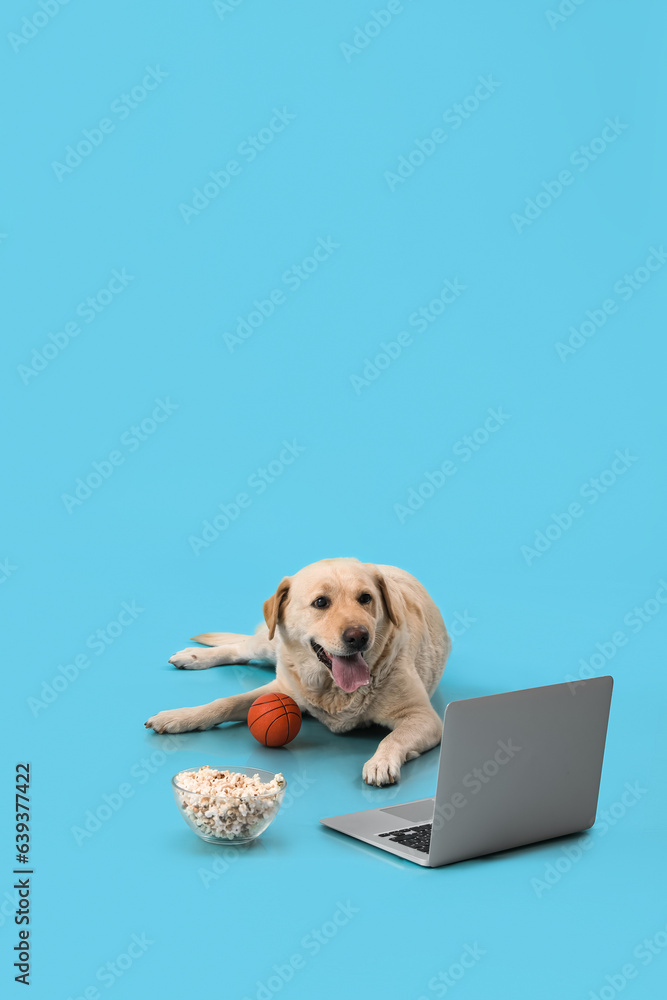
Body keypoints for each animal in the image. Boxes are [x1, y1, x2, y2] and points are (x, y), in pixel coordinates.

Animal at [144, 560, 452, 784]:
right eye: (321, 602)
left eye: (366, 598)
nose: (359, 636)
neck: (332, 688)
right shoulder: (281, 689)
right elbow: (224, 702)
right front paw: (180, 716)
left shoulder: (423, 717)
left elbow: (393, 737)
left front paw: (381, 761)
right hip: (269, 643)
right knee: (240, 647)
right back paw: (194, 656)